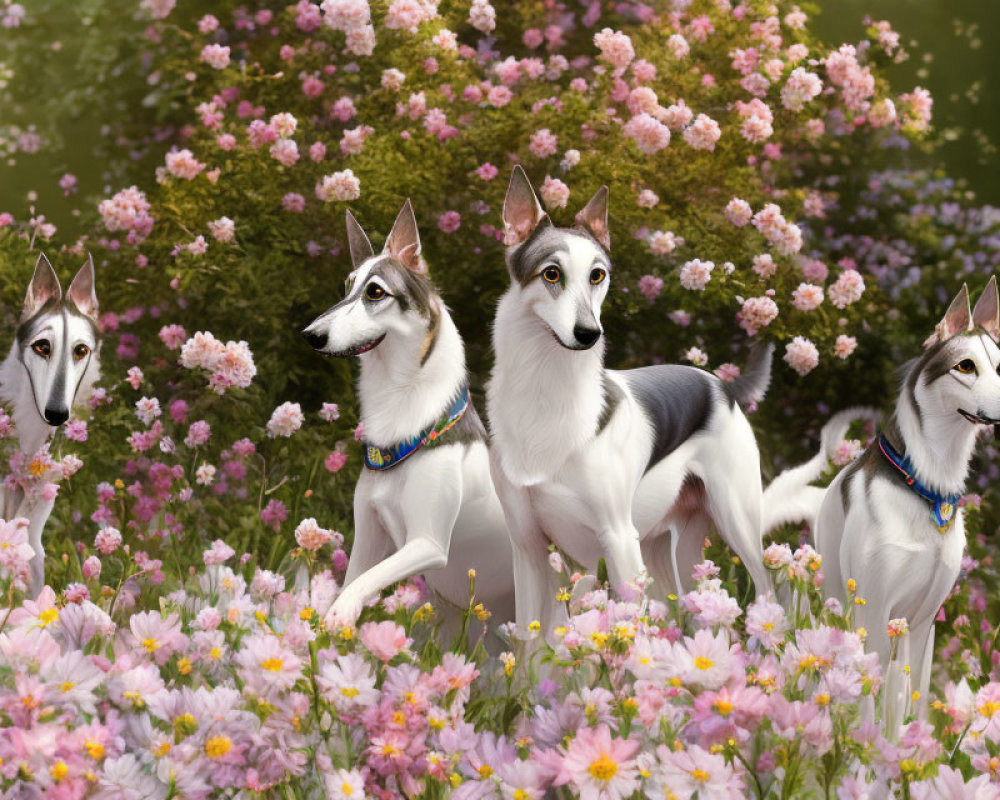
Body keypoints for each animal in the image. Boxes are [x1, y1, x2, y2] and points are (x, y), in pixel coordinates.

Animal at [300, 203, 512, 636]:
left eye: (375, 292)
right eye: (346, 288)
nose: (309, 335)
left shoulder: (427, 543)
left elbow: (361, 584)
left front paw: (339, 614)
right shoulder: (367, 536)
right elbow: (357, 577)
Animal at [488, 166, 776, 636]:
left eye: (597, 275)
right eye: (551, 274)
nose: (589, 334)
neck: (547, 398)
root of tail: (720, 384)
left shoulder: (618, 539)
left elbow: (631, 634)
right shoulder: (527, 548)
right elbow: (528, 644)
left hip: (738, 522)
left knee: (769, 593)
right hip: (670, 550)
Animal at [812, 280, 1000, 724]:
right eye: (966, 367)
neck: (925, 485)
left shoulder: (924, 622)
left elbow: (906, 703)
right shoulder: (875, 608)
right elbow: (868, 700)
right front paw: (862, 745)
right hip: (840, 597)